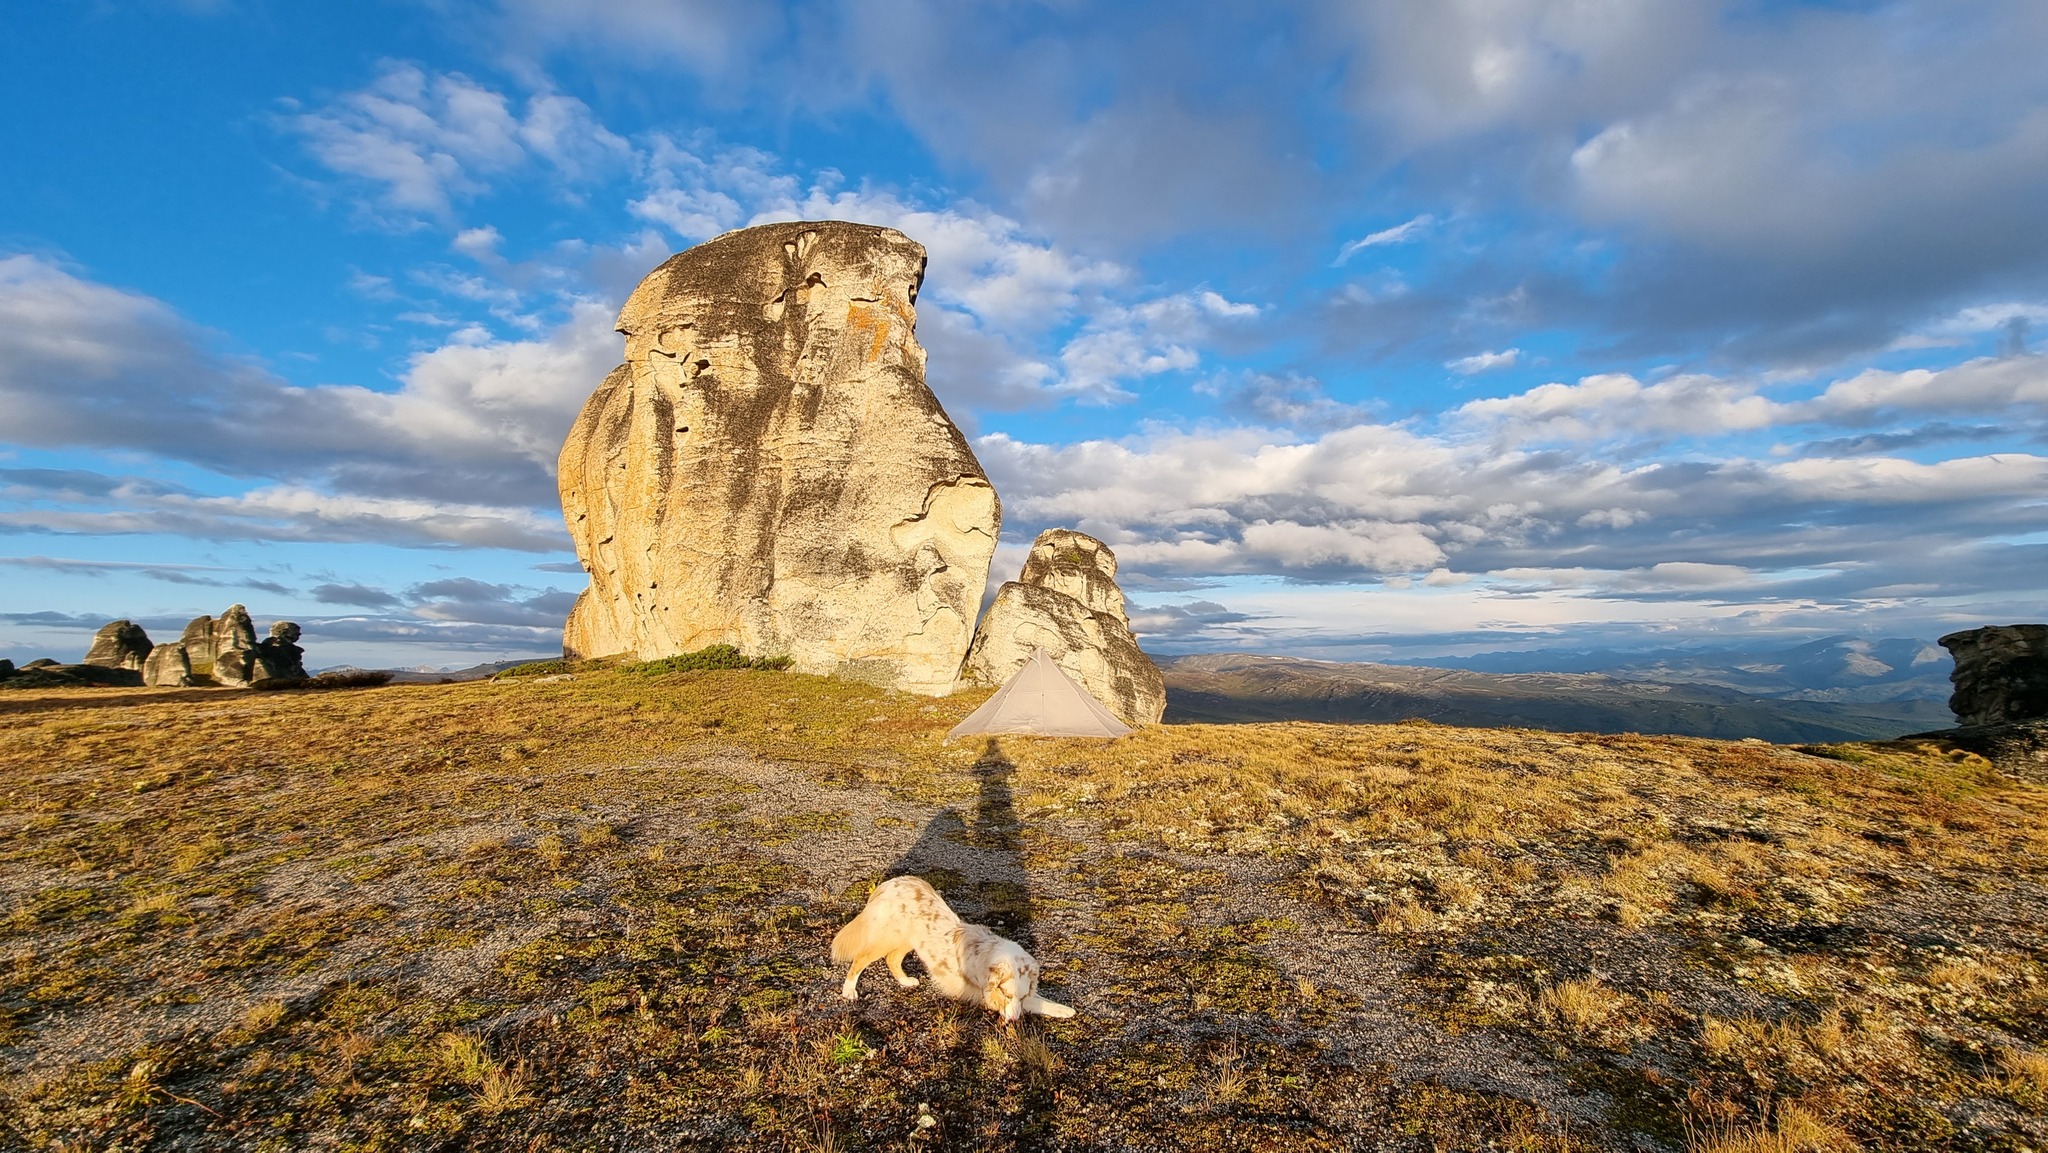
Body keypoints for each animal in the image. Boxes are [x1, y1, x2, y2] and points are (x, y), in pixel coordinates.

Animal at [827, 876, 1081, 1019]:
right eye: (1005, 994)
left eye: (1019, 995)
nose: (1013, 1021)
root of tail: (890, 883)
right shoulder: (987, 994)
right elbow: (1037, 1002)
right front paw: (1065, 1010)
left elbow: (1037, 998)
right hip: (887, 937)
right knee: (861, 959)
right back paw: (849, 991)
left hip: (908, 940)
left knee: (892, 959)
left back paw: (906, 981)